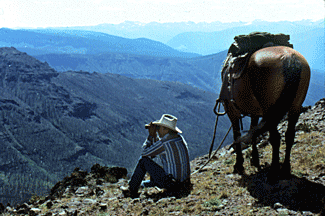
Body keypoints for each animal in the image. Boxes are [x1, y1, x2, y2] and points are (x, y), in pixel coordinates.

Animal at [218, 46, 308, 179]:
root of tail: (289, 57)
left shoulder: (232, 112)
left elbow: (237, 135)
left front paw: (239, 165)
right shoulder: (255, 112)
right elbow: (253, 132)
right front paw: (255, 159)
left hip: (270, 112)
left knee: (275, 138)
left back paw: (274, 171)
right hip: (294, 108)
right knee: (289, 135)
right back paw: (285, 168)